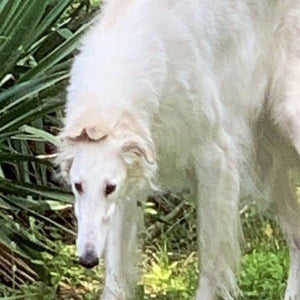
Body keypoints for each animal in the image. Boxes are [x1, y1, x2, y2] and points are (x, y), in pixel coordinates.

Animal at [57, 0, 300, 300]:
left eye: (109, 188)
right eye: (77, 186)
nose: (87, 259)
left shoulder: (215, 162)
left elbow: (211, 265)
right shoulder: (132, 178)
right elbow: (116, 276)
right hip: (267, 163)